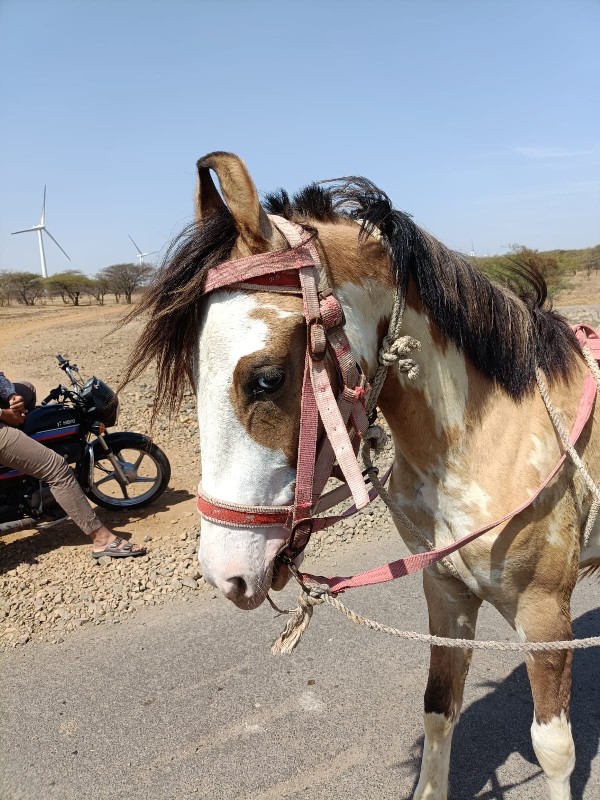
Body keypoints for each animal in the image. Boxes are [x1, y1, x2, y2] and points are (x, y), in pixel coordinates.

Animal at [123, 152, 600, 800]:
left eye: (267, 378)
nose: (226, 574)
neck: (488, 436)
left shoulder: (544, 614)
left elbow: (552, 748)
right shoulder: (445, 592)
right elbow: (438, 710)